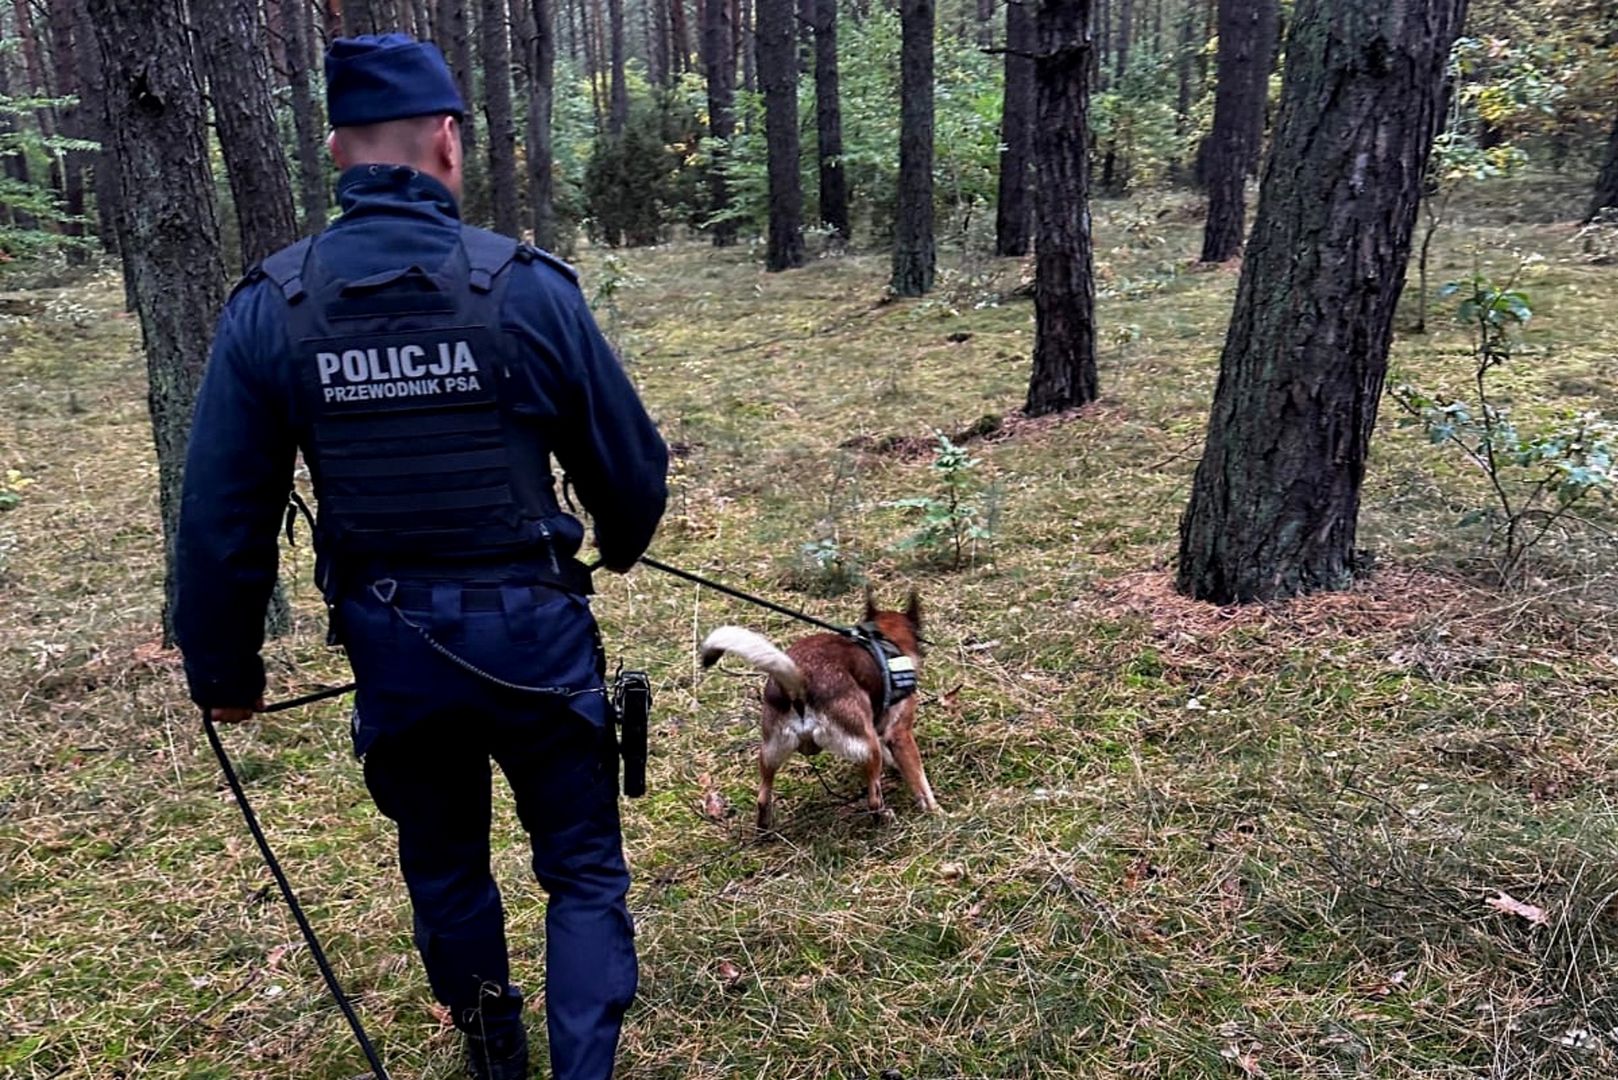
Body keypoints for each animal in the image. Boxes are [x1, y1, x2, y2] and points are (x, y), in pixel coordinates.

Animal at [695, 592, 938, 829]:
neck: (885, 638)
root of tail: (799, 683)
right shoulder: (900, 734)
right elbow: (920, 782)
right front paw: (936, 812)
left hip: (771, 751)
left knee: (763, 798)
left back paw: (765, 830)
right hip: (868, 749)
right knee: (873, 799)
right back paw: (886, 818)